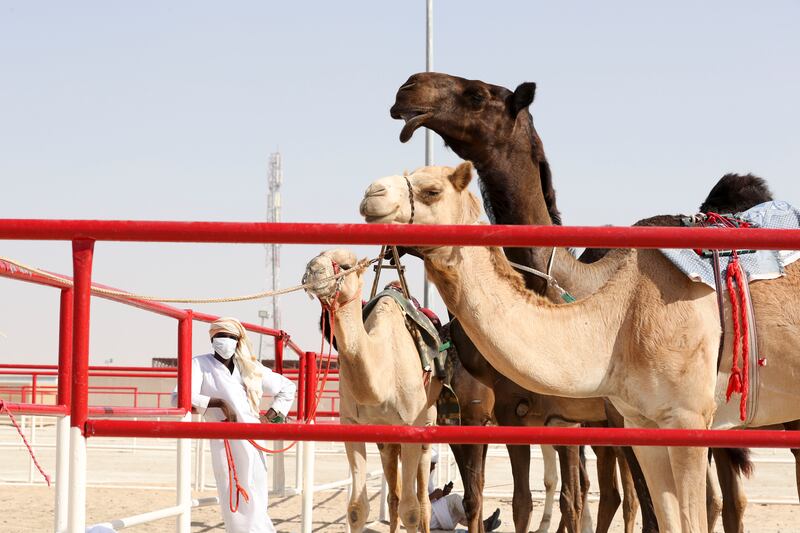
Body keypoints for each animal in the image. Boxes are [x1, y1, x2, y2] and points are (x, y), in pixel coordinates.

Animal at [302, 249, 438, 532]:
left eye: (346, 266)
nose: (313, 270)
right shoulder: (352, 423)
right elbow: (356, 508)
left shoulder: (411, 425)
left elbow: (412, 510)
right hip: (386, 438)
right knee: (393, 495)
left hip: (427, 423)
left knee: (422, 501)